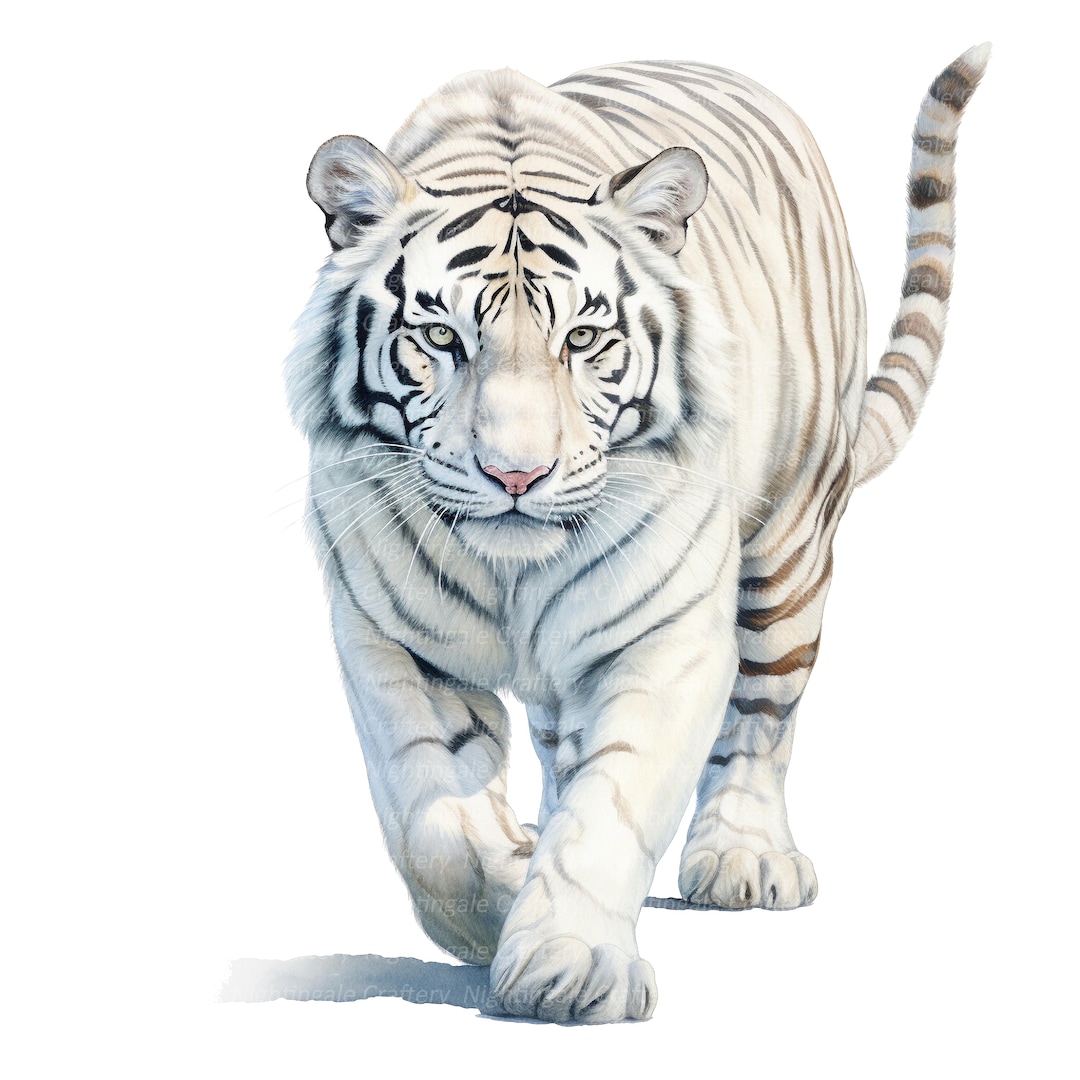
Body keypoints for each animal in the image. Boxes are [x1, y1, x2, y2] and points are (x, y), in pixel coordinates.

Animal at [284, 44, 989, 1023]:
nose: (516, 475)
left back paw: (744, 856)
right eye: (440, 337)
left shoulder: (666, 634)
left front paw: (569, 963)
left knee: (764, 713)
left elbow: (614, 800)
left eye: (582, 339)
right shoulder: (388, 638)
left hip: (790, 539)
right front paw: (509, 889)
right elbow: (435, 827)